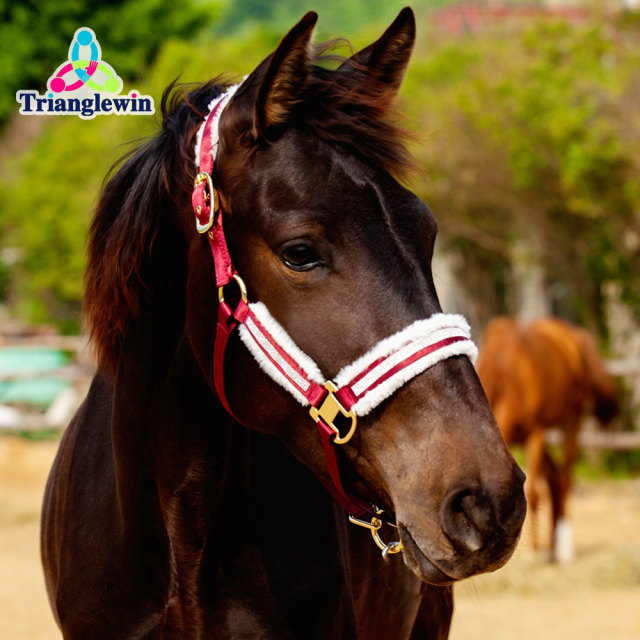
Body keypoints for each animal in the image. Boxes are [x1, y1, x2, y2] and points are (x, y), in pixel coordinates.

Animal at [476, 316, 618, 564]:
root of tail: (572, 335)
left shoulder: (537, 433)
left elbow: (533, 493)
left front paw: (536, 551)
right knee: (555, 479)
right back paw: (554, 545)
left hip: (570, 422)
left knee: (565, 478)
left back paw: (563, 547)